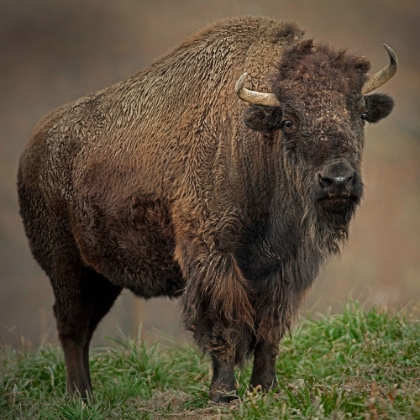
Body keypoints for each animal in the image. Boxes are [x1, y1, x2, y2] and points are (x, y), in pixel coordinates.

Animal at [17, 16, 398, 402]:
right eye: (289, 120)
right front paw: (224, 392)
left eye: (359, 113)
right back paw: (81, 396)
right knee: (72, 325)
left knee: (84, 325)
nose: (338, 180)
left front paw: (265, 386)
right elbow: (224, 320)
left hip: (102, 276)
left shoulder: (283, 268)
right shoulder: (215, 255)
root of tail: (34, 148)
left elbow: (269, 328)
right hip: (66, 266)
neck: (255, 146)